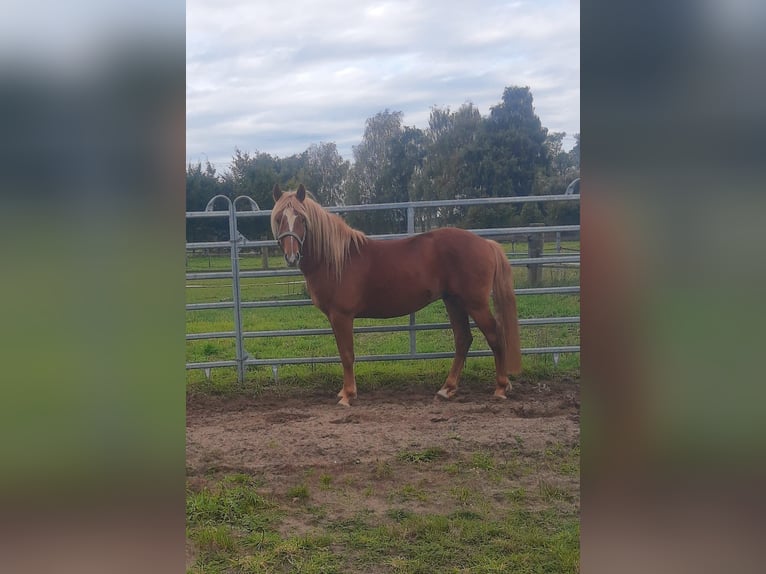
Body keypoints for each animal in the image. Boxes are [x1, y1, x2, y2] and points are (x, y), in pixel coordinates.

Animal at [270, 187, 520, 408]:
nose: (291, 256)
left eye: (302, 219)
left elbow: (347, 355)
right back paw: (447, 389)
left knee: (494, 335)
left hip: (475, 303)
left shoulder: (342, 316)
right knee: (463, 339)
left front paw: (348, 395)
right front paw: (345, 392)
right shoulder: (336, 317)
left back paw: (500, 387)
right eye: (279, 218)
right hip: (454, 301)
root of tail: (486, 243)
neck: (336, 259)